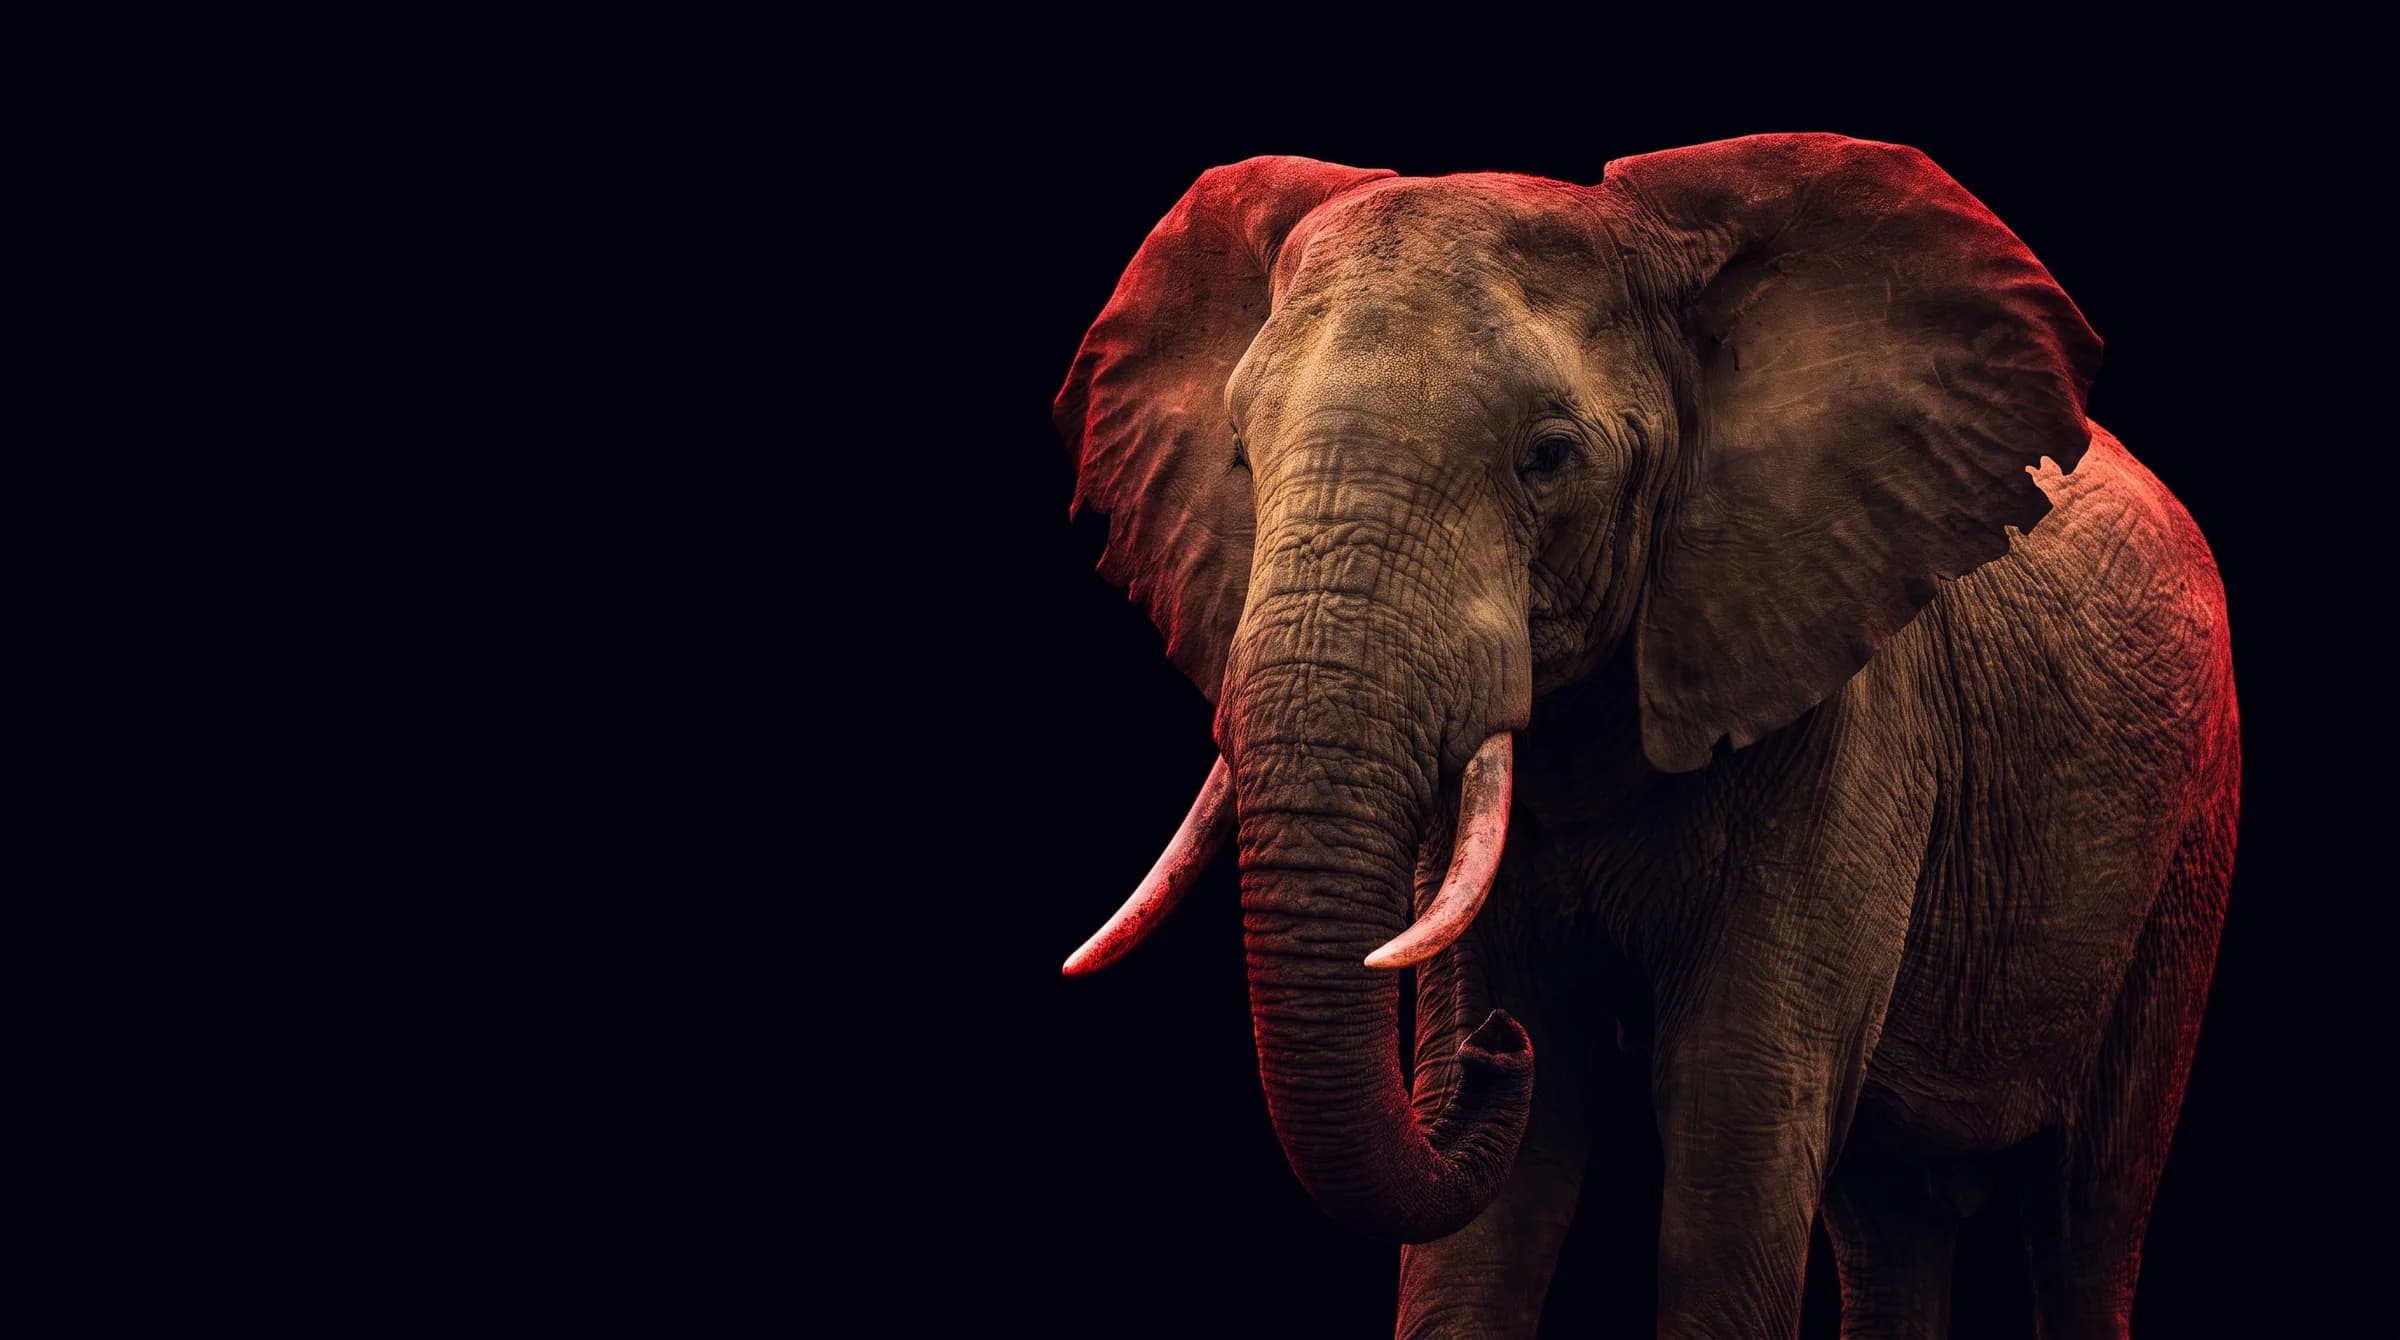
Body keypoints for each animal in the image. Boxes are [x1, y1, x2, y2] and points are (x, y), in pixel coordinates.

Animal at [1051, 135, 2239, 1339]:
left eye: (1547, 456)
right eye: (1241, 457)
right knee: (1888, 1212)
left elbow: (1736, 1115)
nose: (1492, 1051)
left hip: (2187, 849)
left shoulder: (1845, 716)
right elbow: (1501, 1197)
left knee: (2086, 1210)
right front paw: (1503, 1034)